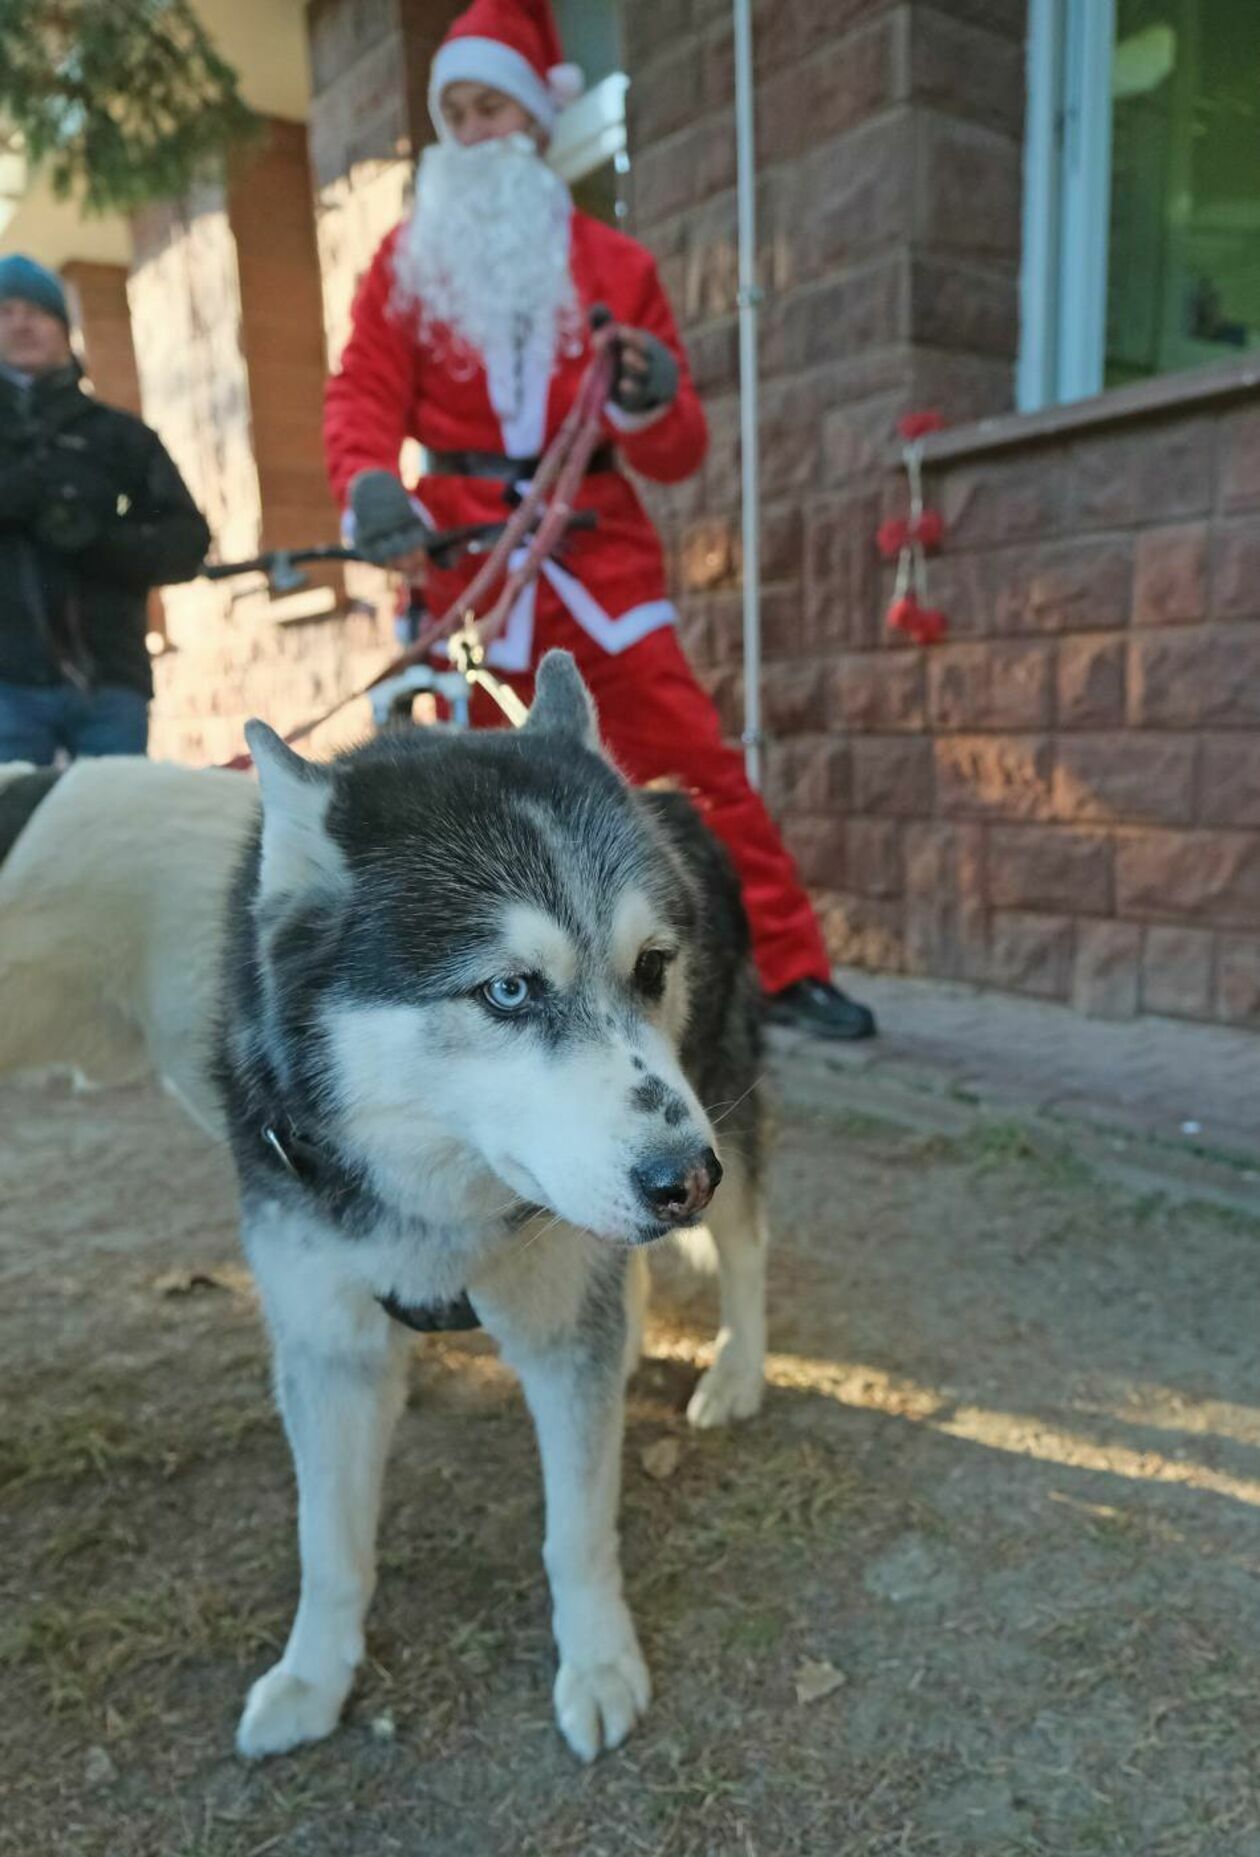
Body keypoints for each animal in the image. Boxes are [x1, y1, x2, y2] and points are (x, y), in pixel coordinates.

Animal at [0, 661, 768, 1760]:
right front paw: (314, 1679)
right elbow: (330, 1545)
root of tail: (669, 792)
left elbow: (575, 1531)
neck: (432, 1194)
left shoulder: (562, 1315)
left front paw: (598, 1664)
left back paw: (737, 1369)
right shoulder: (327, 1343)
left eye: (652, 967)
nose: (681, 1179)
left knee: (746, 1247)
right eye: (508, 990)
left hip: (724, 1109)